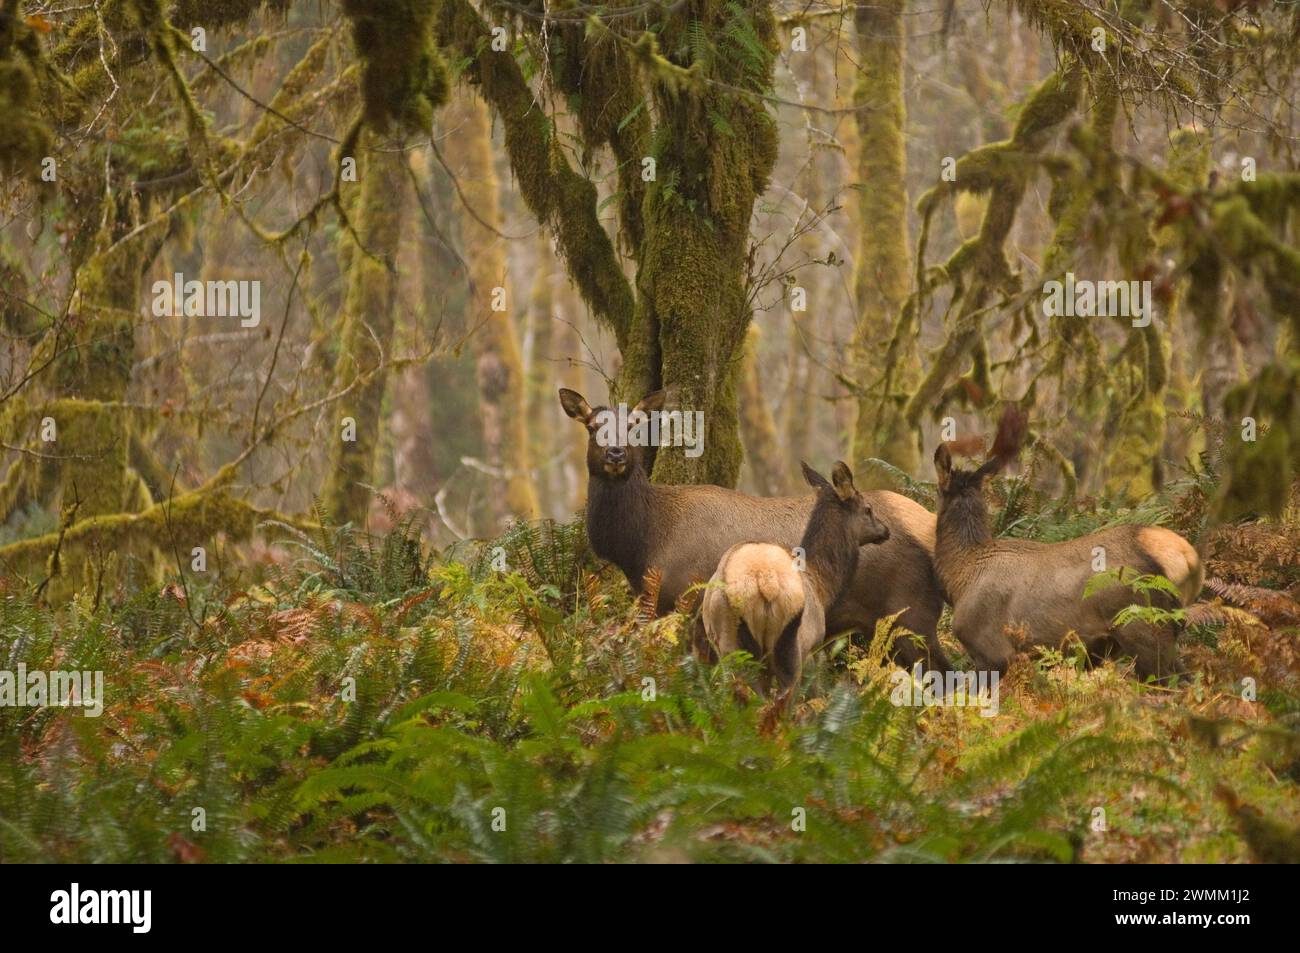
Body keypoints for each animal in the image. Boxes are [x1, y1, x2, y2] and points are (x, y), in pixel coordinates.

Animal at [559, 386, 954, 673]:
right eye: (592, 427)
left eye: (633, 427)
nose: (615, 454)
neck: (642, 543)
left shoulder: (684, 600)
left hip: (911, 615)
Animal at [702, 461, 888, 704]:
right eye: (868, 508)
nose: (886, 530)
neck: (822, 586)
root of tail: (763, 583)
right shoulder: (813, 646)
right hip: (789, 645)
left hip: (729, 645)